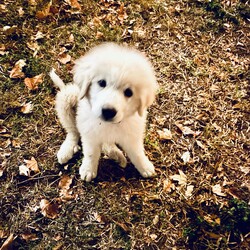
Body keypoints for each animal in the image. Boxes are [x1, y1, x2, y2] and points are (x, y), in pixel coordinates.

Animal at [49, 42, 157, 181]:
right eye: (101, 82)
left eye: (129, 92)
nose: (108, 111)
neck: (109, 125)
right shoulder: (90, 134)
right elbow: (91, 153)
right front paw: (88, 170)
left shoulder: (132, 135)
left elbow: (137, 153)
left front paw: (145, 167)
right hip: (68, 97)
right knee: (73, 131)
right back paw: (67, 149)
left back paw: (116, 155)